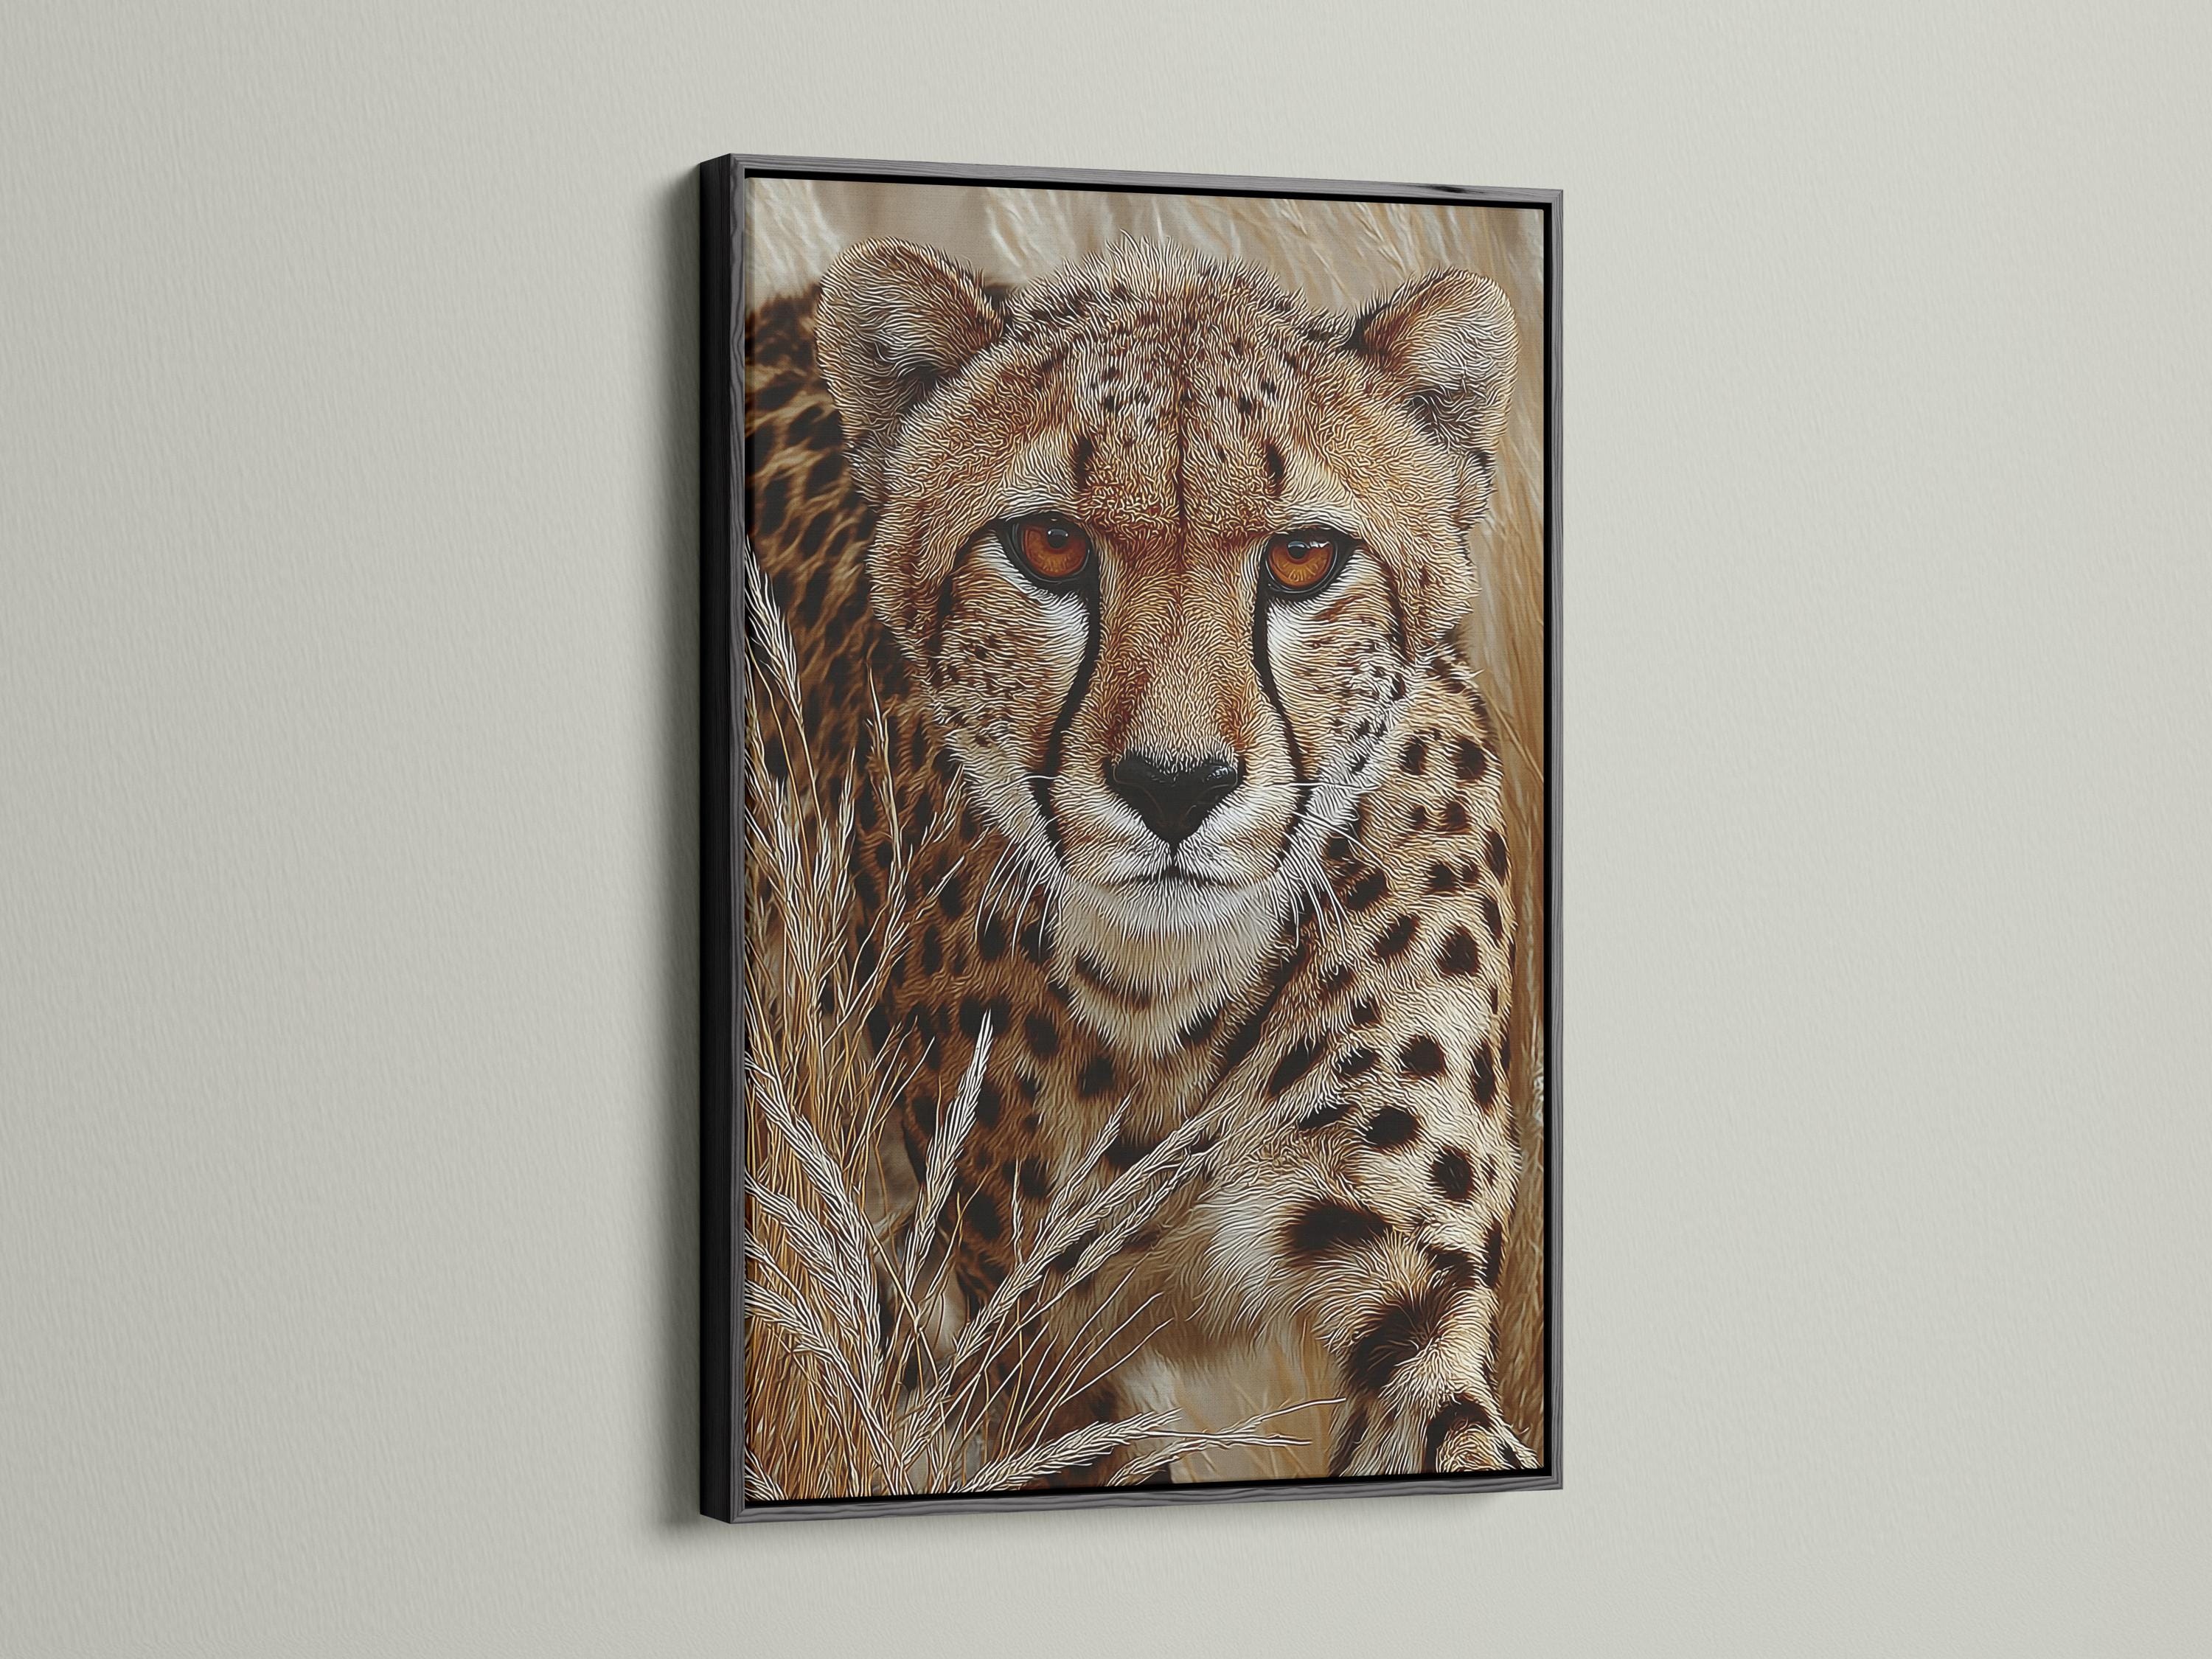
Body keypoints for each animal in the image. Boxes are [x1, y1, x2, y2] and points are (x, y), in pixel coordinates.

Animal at [743, 235, 1538, 1483]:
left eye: (1303, 557)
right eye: (1049, 544)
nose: (1175, 785)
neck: (1174, 1007)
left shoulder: (1411, 1290)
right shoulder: (1034, 1352)